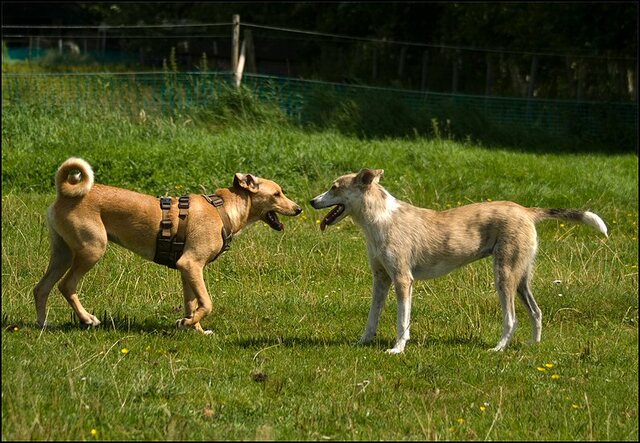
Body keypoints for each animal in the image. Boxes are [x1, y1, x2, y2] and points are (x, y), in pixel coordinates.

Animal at [34, 158, 302, 334]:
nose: (299, 209)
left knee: (41, 288)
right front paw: (187, 324)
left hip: (63, 254)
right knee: (66, 286)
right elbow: (207, 303)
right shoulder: (191, 264)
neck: (223, 209)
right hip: (92, 250)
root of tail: (64, 194)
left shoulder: (188, 271)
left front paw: (195, 328)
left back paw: (43, 325)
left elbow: (192, 304)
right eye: (277, 194)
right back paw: (87, 319)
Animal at [312, 170, 608, 354]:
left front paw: (397, 349)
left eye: (334, 187)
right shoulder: (381, 280)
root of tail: (526, 210)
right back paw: (533, 347)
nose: (312, 201)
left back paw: (498, 348)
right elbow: (372, 319)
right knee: (536, 312)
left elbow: (402, 322)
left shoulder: (403, 281)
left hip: (504, 276)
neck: (381, 219)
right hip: (521, 278)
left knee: (511, 319)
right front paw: (363, 342)